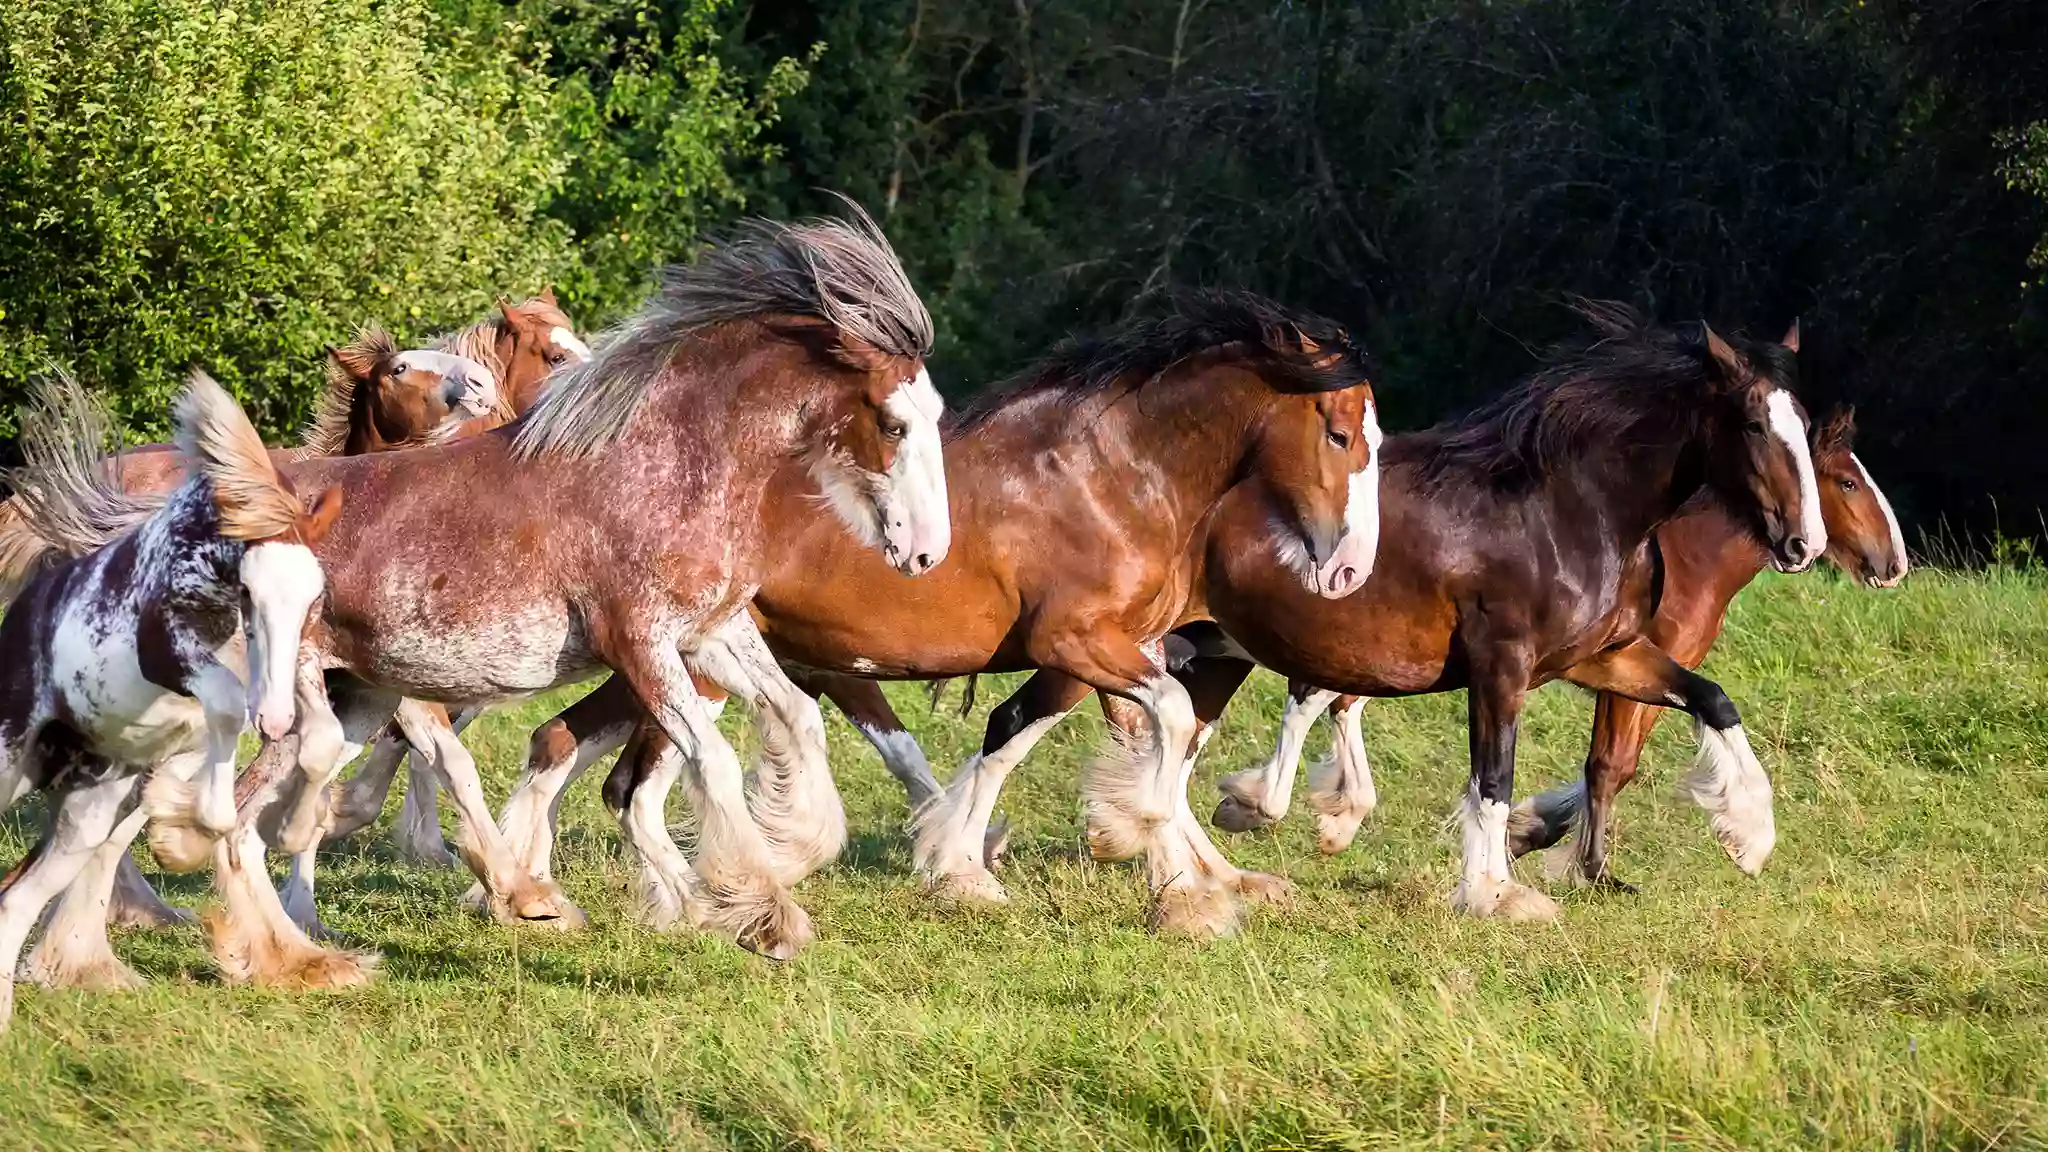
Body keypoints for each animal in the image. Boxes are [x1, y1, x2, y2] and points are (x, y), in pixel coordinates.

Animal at [0, 368, 339, 1020]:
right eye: (251, 593)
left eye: (314, 598)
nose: (275, 717)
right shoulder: (168, 653)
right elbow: (226, 717)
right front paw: (183, 837)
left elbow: (299, 735)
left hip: (83, 813)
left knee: (16, 904)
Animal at [487, 286, 1384, 934]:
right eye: (1341, 434)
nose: (1348, 570)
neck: (1111, 475)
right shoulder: (1080, 644)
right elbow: (1150, 736)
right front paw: (1174, 885)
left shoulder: (1110, 654)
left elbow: (1122, 744)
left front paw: (1201, 874)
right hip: (687, 665)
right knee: (623, 781)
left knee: (570, 747)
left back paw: (538, 889)